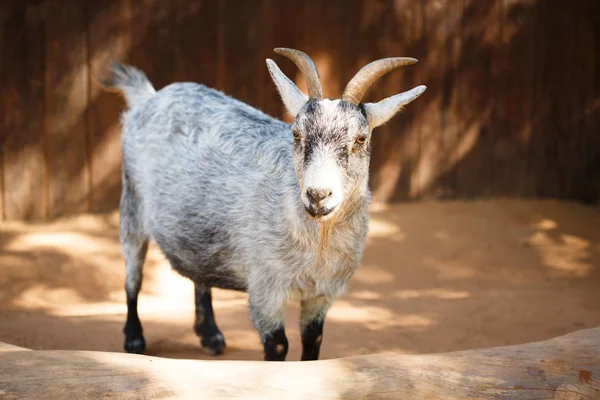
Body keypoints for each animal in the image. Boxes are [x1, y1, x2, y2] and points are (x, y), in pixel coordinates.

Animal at [106, 48, 426, 360]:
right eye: (296, 134)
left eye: (360, 138)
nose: (318, 195)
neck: (317, 244)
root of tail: (149, 97)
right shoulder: (265, 289)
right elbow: (279, 345)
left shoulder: (322, 295)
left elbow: (313, 343)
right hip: (132, 202)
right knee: (133, 275)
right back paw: (134, 338)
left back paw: (210, 334)